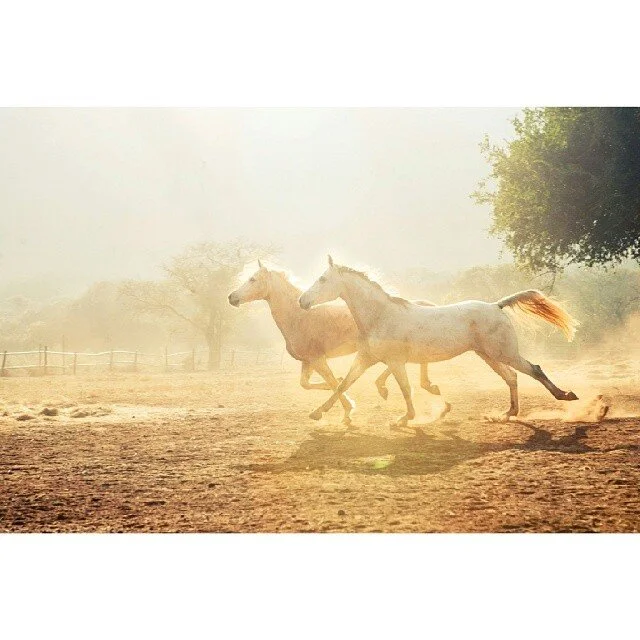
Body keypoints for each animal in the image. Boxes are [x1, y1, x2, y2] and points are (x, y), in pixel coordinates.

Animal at [227, 261, 442, 424]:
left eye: (252, 279)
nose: (231, 297)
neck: (299, 317)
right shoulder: (308, 361)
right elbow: (307, 384)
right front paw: (339, 392)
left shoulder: (317, 359)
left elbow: (331, 382)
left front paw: (346, 410)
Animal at [298, 256, 579, 427]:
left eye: (323, 279)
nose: (302, 301)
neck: (380, 316)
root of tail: (495, 305)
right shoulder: (366, 358)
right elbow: (343, 384)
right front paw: (317, 413)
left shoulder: (395, 362)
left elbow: (405, 389)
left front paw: (404, 419)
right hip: (488, 355)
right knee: (512, 377)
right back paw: (507, 414)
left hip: (504, 353)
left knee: (534, 369)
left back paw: (566, 395)